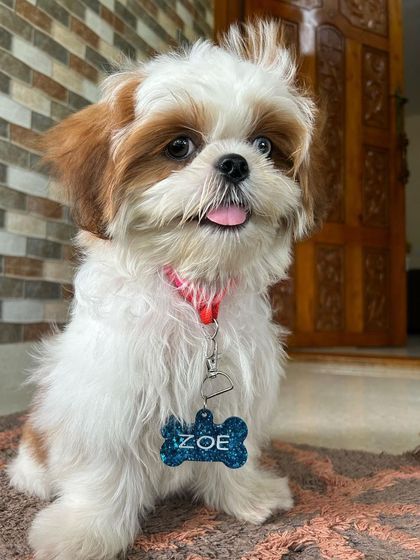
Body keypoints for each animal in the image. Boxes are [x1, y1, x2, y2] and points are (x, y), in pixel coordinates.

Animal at [8, 20, 326, 560]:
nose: (236, 162)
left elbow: (235, 446)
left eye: (263, 145)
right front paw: (85, 532)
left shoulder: (237, 386)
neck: (192, 287)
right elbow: (104, 468)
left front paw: (247, 496)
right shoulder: (108, 393)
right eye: (179, 147)